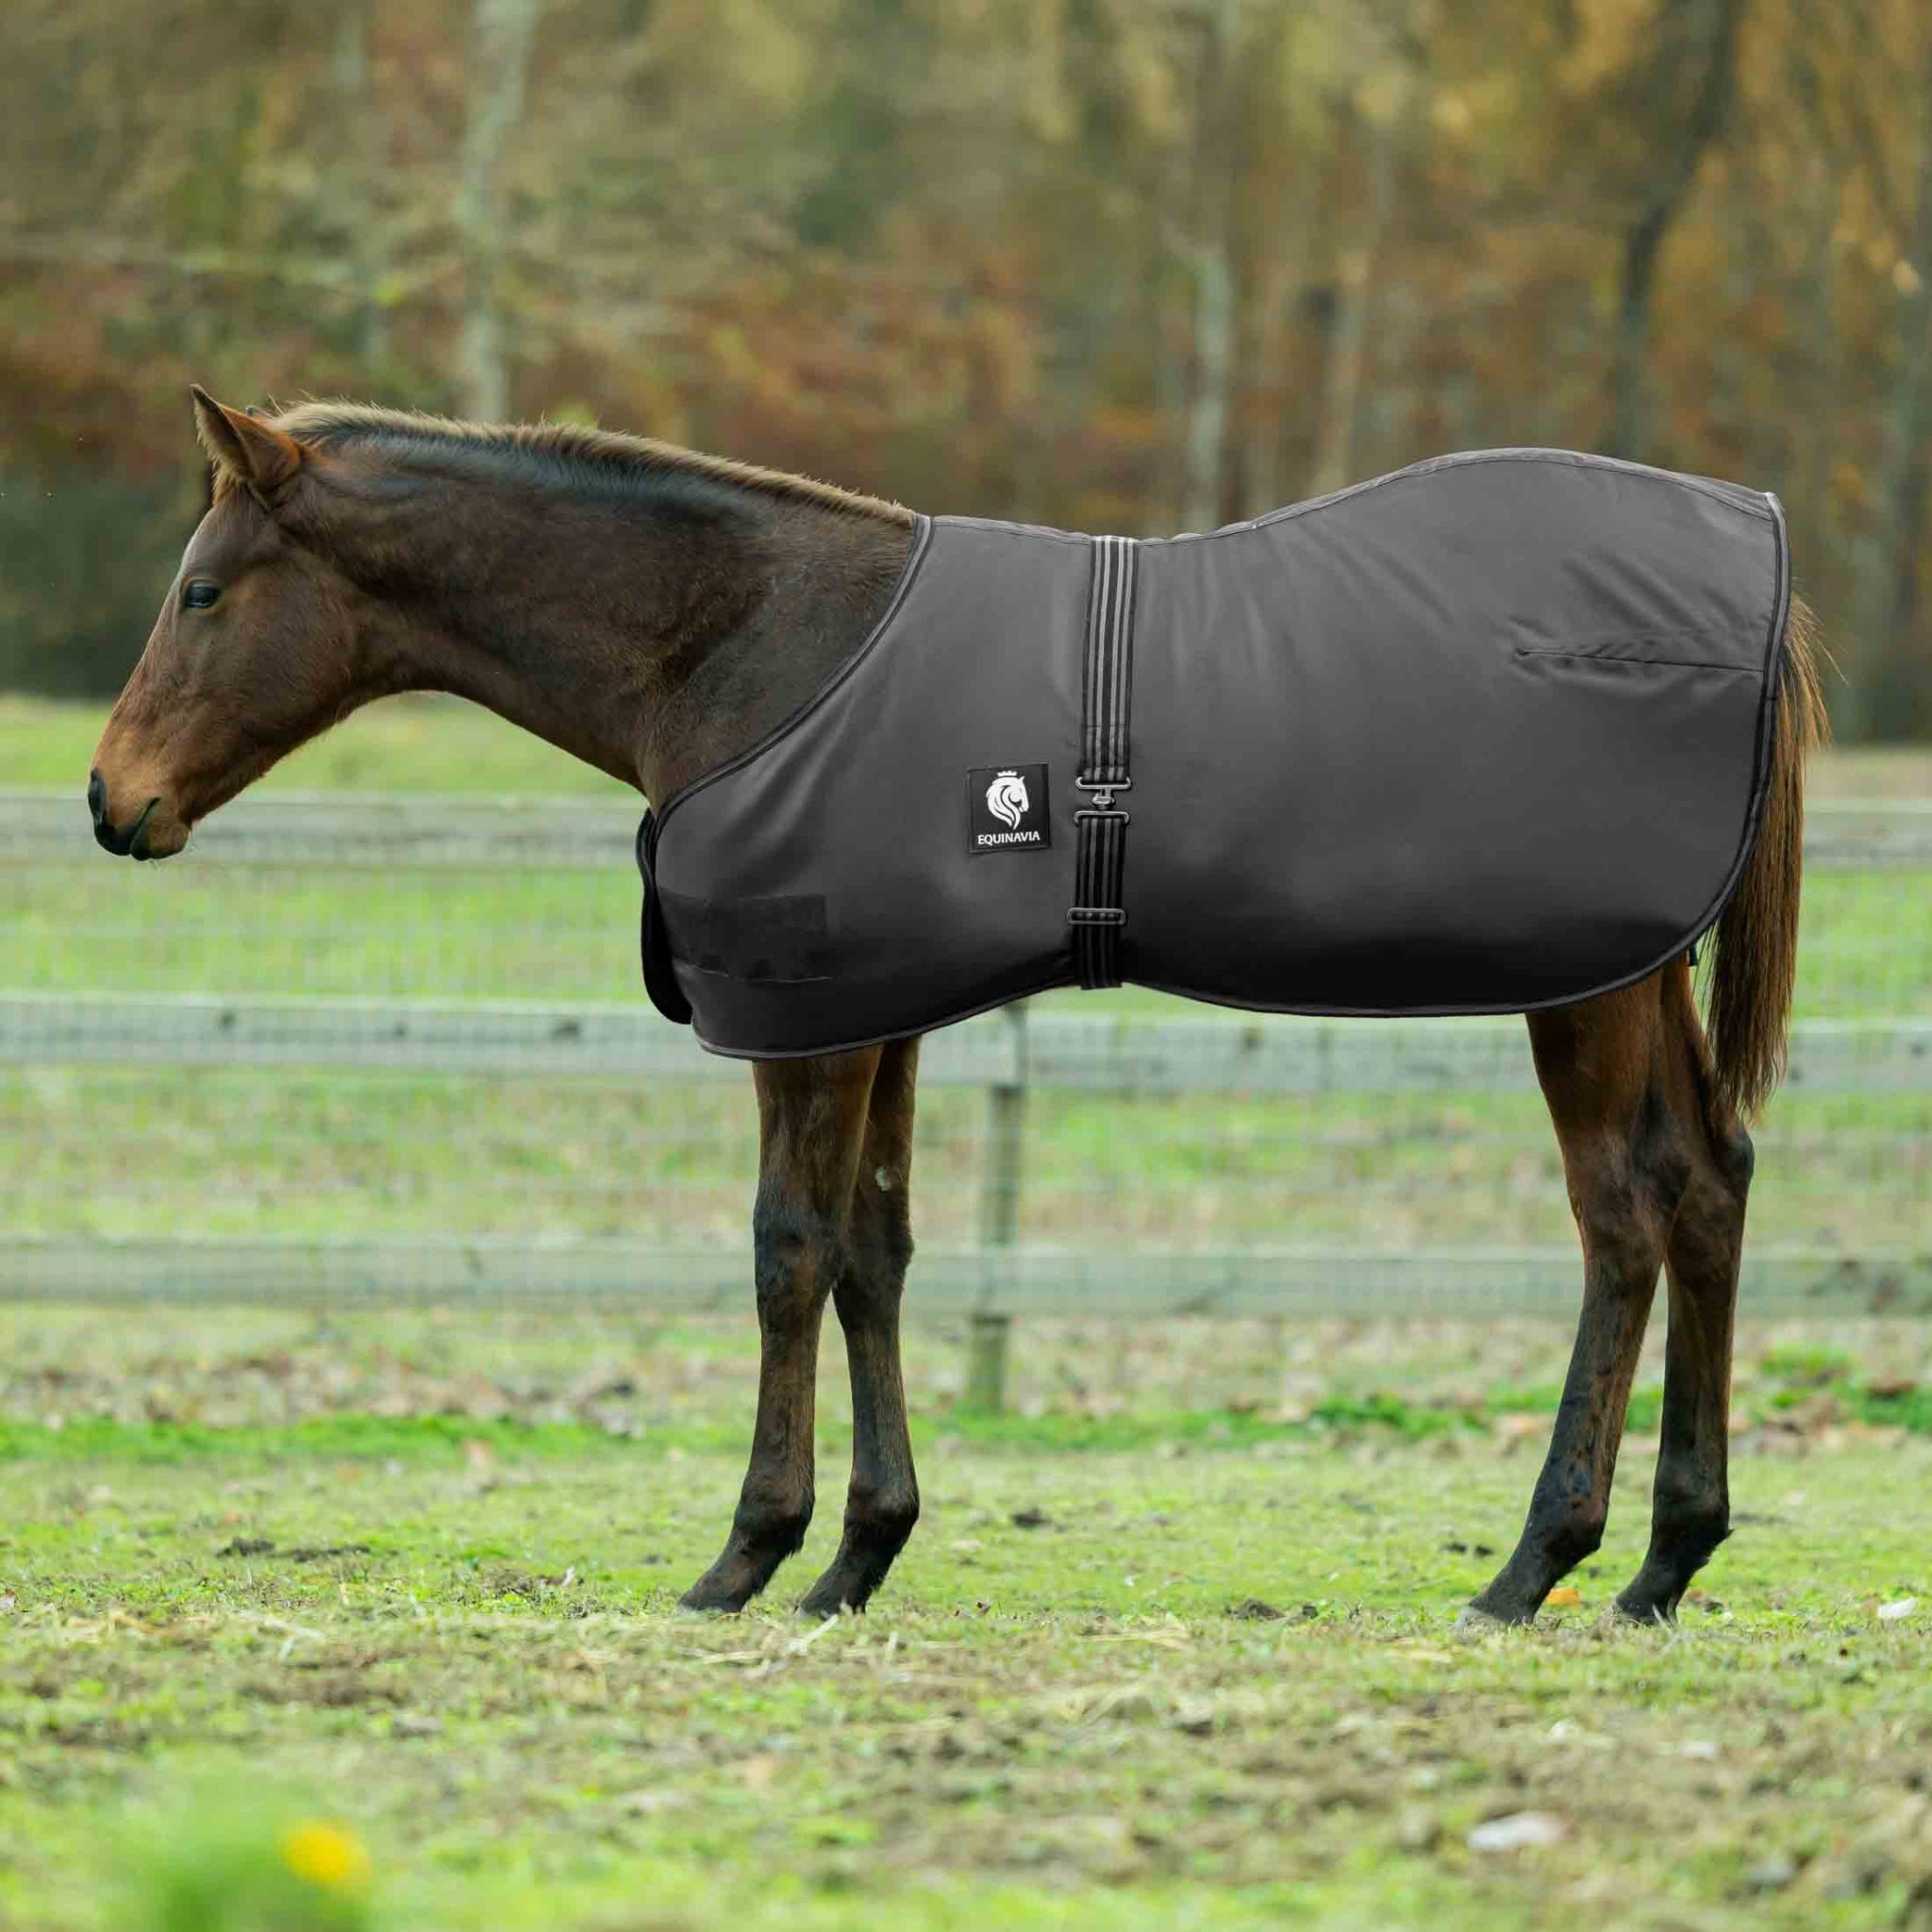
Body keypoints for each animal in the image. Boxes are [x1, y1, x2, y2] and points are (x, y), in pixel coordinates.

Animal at [88, 387, 1826, 1625]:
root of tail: (1754, 565)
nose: (113, 802)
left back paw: (1537, 1563)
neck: (748, 638)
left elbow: (787, 1251)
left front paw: (746, 1552)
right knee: (1713, 1188)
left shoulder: (806, 1023)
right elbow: (877, 1250)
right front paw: (858, 1554)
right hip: (1642, 974)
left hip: (1586, 985)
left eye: (199, 591)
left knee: (1625, 1214)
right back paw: (1664, 1561)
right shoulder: (889, 1010)